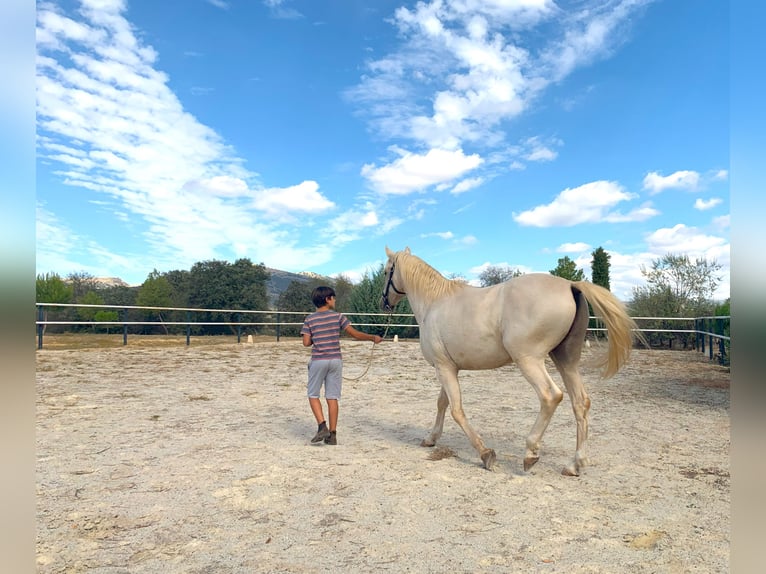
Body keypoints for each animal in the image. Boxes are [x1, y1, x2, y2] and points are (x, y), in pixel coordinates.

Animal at [380, 248, 640, 476]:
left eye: (385, 272)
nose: (383, 303)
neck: (434, 303)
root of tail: (569, 285)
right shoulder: (448, 367)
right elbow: (443, 403)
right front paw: (431, 438)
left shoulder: (444, 368)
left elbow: (456, 410)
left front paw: (486, 454)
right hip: (566, 360)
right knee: (581, 402)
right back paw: (575, 465)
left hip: (529, 360)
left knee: (551, 396)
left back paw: (530, 453)